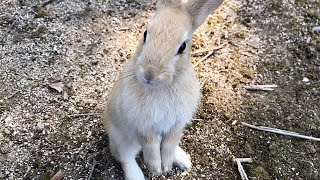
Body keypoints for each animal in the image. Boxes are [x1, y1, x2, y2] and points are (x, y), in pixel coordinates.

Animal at [102, 0, 222, 179]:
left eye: (183, 46)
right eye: (145, 33)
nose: (149, 74)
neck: (161, 87)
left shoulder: (177, 123)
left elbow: (170, 143)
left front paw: (166, 166)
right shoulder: (142, 125)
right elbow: (150, 145)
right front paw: (156, 169)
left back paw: (183, 160)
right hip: (122, 139)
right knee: (125, 157)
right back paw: (137, 176)